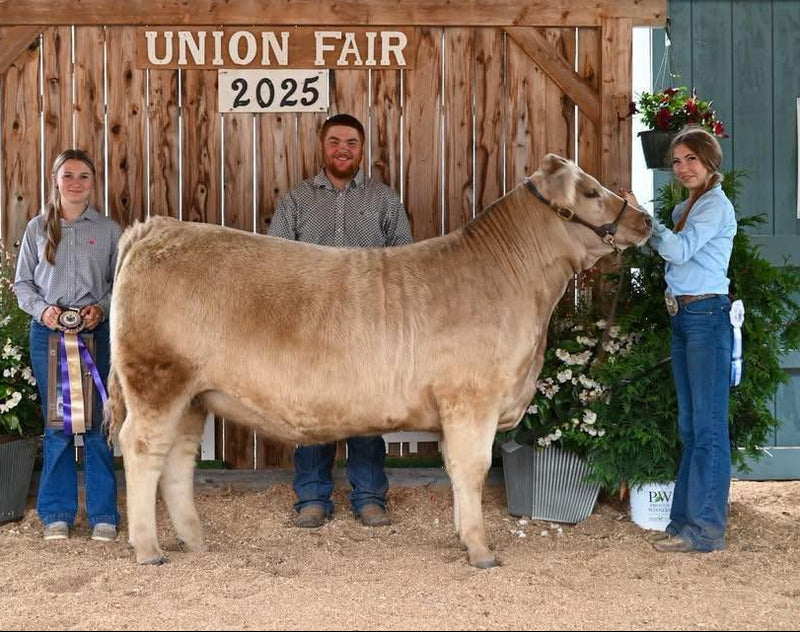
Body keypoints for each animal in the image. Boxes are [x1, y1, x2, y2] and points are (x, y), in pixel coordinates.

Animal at [108, 153, 651, 567]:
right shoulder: (472, 401)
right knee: (142, 449)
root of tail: (157, 228)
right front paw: (481, 551)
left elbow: (456, 470)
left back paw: (195, 541)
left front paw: (463, 536)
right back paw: (148, 549)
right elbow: (473, 468)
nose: (644, 220)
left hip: (194, 395)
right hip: (159, 379)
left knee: (177, 459)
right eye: (589, 191)